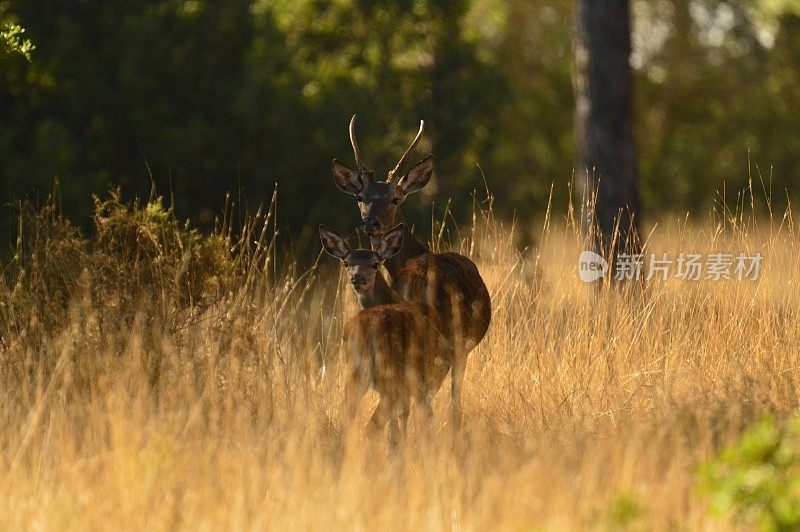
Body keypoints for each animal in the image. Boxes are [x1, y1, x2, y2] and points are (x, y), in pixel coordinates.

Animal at [320, 223, 456, 440]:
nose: (357, 278)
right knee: (373, 426)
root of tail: (368, 332)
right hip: (394, 376)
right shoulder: (423, 383)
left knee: (348, 422)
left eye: (375, 264)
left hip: (354, 372)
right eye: (346, 263)